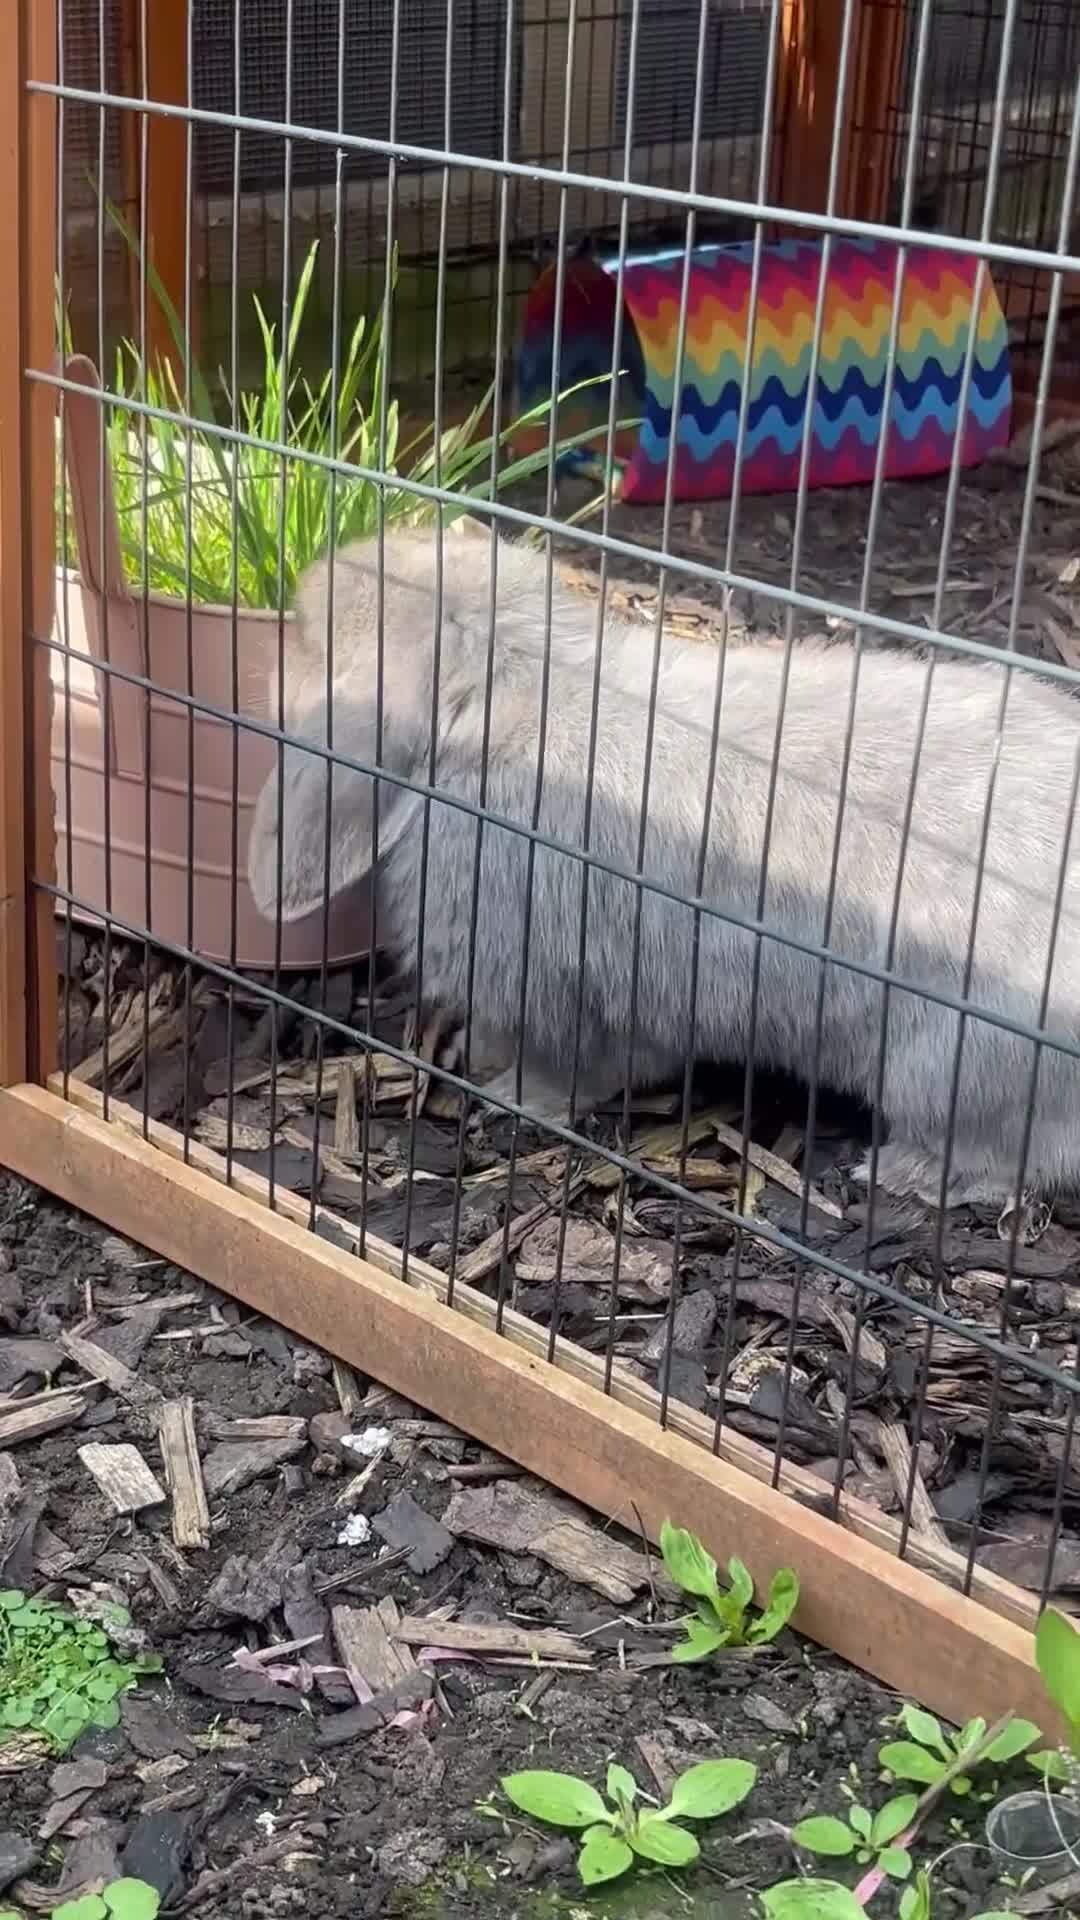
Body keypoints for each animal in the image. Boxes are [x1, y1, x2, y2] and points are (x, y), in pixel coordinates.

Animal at [247, 525, 1080, 1209]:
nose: (319, 571)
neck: (514, 700)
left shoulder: (566, 996)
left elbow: (572, 1071)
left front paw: (510, 1095)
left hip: (950, 1068)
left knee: (1010, 1159)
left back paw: (904, 1173)